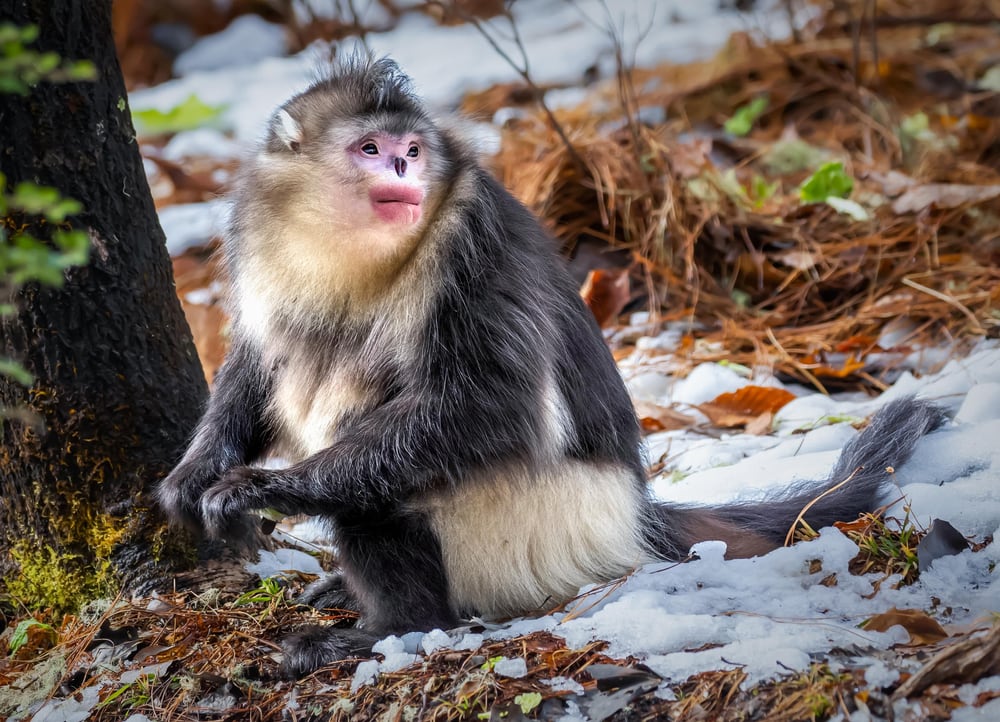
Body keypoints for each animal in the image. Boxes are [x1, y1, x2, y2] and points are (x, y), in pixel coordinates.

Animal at [156, 54, 945, 678]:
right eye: (370, 148)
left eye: (411, 147)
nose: (406, 166)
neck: (351, 249)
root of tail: (632, 516)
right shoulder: (260, 237)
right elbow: (258, 360)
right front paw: (194, 473)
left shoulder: (468, 241)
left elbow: (489, 410)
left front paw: (269, 487)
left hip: (535, 532)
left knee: (374, 459)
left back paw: (389, 628)